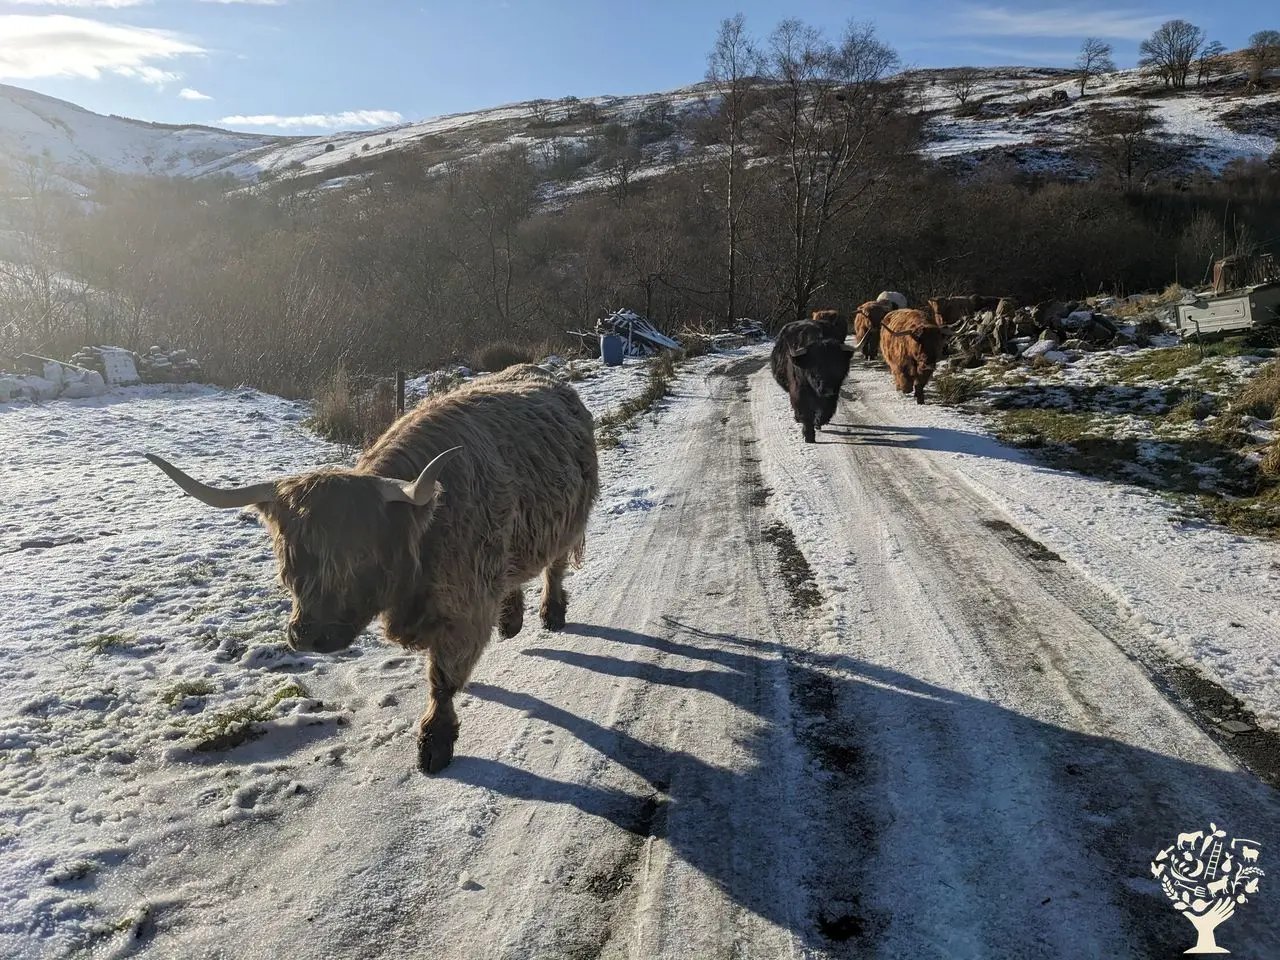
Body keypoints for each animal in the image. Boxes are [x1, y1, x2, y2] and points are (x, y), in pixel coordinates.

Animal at [146, 364, 599, 774]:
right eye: (289, 555)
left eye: (361, 555)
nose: (308, 635)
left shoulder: (463, 608)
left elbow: (442, 680)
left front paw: (434, 744)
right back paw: (510, 620)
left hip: (570, 522)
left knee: (555, 567)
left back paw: (551, 613)